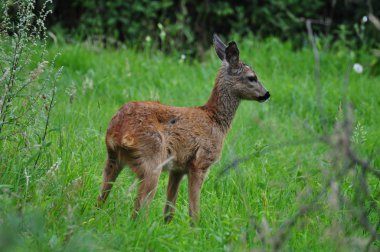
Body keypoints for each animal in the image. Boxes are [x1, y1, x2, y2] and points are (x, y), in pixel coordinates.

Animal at [98, 34, 270, 222]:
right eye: (252, 77)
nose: (267, 94)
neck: (216, 121)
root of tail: (118, 131)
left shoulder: (178, 168)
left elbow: (169, 210)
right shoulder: (200, 162)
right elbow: (193, 211)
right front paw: (195, 228)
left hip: (113, 159)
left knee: (100, 199)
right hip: (152, 160)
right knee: (138, 211)